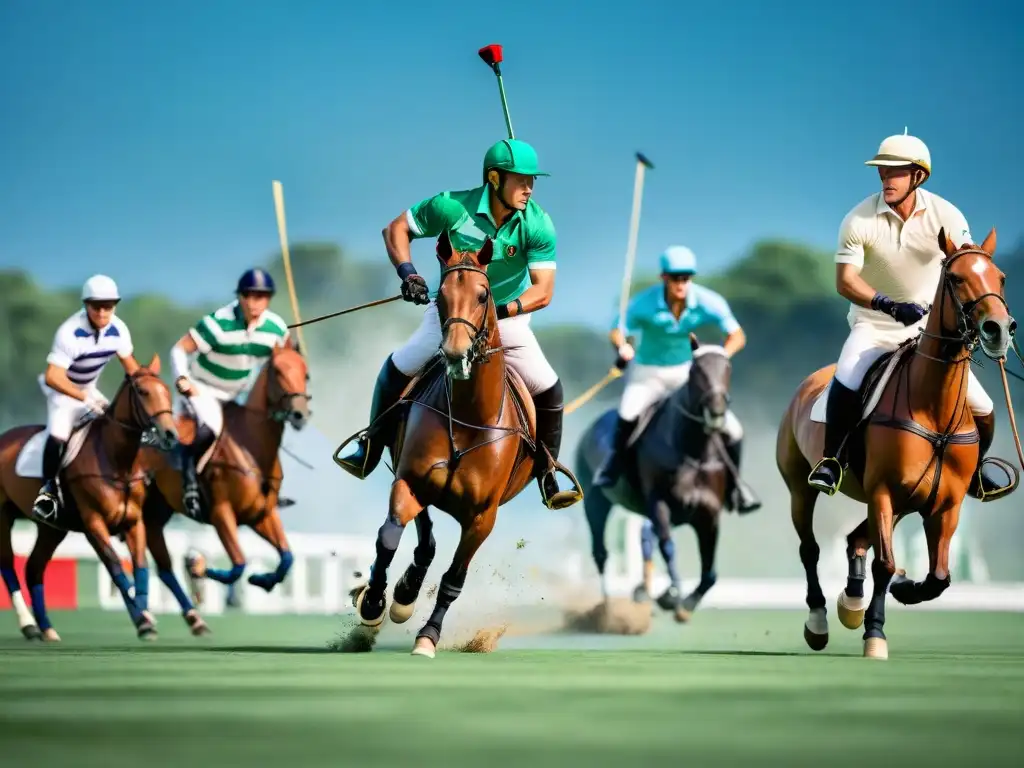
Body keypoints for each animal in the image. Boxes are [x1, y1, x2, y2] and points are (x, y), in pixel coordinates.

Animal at [0, 356, 178, 643]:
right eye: (143, 391)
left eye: (165, 390)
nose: (170, 435)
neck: (117, 462)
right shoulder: (93, 523)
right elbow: (116, 567)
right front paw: (143, 620)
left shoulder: (132, 521)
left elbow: (139, 567)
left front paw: (146, 617)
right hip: (2, 516)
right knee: (7, 564)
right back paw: (29, 626)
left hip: (51, 529)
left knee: (34, 568)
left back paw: (46, 629)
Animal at [140, 344, 309, 630]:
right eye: (277, 371)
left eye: (305, 373)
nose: (300, 414)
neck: (252, 447)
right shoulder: (221, 512)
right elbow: (238, 564)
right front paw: (197, 566)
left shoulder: (260, 514)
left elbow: (287, 557)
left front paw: (263, 581)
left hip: (157, 509)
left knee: (159, 563)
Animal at [346, 231, 569, 659]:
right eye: (441, 295)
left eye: (483, 295)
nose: (454, 352)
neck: (468, 416)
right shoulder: (410, 481)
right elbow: (390, 536)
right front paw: (374, 603)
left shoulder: (482, 517)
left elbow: (454, 578)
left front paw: (427, 637)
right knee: (423, 542)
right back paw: (403, 594)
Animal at [778, 228, 1011, 663]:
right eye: (956, 279)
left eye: (1000, 277)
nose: (998, 329)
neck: (933, 410)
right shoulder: (883, 491)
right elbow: (885, 565)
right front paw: (875, 635)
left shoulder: (945, 504)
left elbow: (939, 576)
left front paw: (901, 591)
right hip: (802, 487)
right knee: (811, 549)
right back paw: (819, 621)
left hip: (903, 500)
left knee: (856, 539)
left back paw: (850, 603)